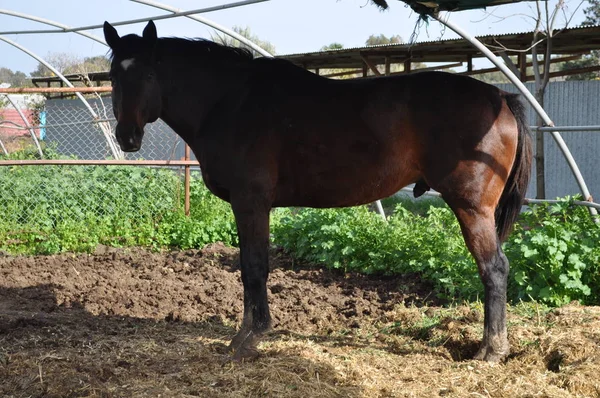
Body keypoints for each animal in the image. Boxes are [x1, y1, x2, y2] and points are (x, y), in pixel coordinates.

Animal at [104, 21, 536, 364]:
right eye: (113, 75)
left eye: (148, 75)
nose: (127, 137)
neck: (228, 102)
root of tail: (500, 98)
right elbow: (248, 268)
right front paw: (245, 334)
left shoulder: (251, 202)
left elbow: (255, 268)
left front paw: (250, 337)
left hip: (472, 208)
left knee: (494, 269)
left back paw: (491, 351)